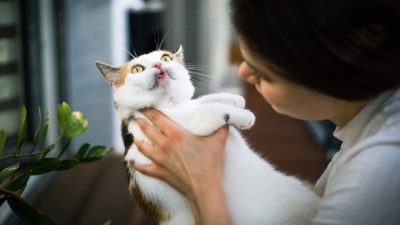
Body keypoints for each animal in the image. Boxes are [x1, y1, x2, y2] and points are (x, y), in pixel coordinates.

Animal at [95, 46, 320, 225]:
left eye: (166, 57)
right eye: (137, 69)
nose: (159, 64)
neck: (170, 106)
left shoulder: (189, 105)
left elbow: (203, 100)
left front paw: (234, 99)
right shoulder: (186, 124)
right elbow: (208, 109)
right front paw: (243, 115)